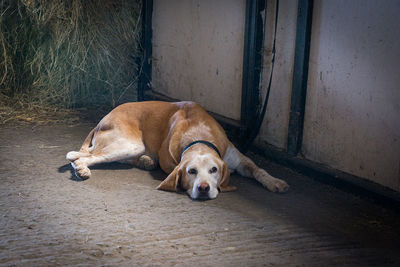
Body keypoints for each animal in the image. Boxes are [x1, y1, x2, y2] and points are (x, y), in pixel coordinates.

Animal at [67, 101, 290, 200]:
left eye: (214, 170)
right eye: (191, 172)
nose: (203, 188)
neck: (198, 136)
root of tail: (101, 120)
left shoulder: (240, 159)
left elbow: (258, 169)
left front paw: (275, 182)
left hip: (132, 148)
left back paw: (146, 161)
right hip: (128, 144)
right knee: (81, 156)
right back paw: (82, 169)